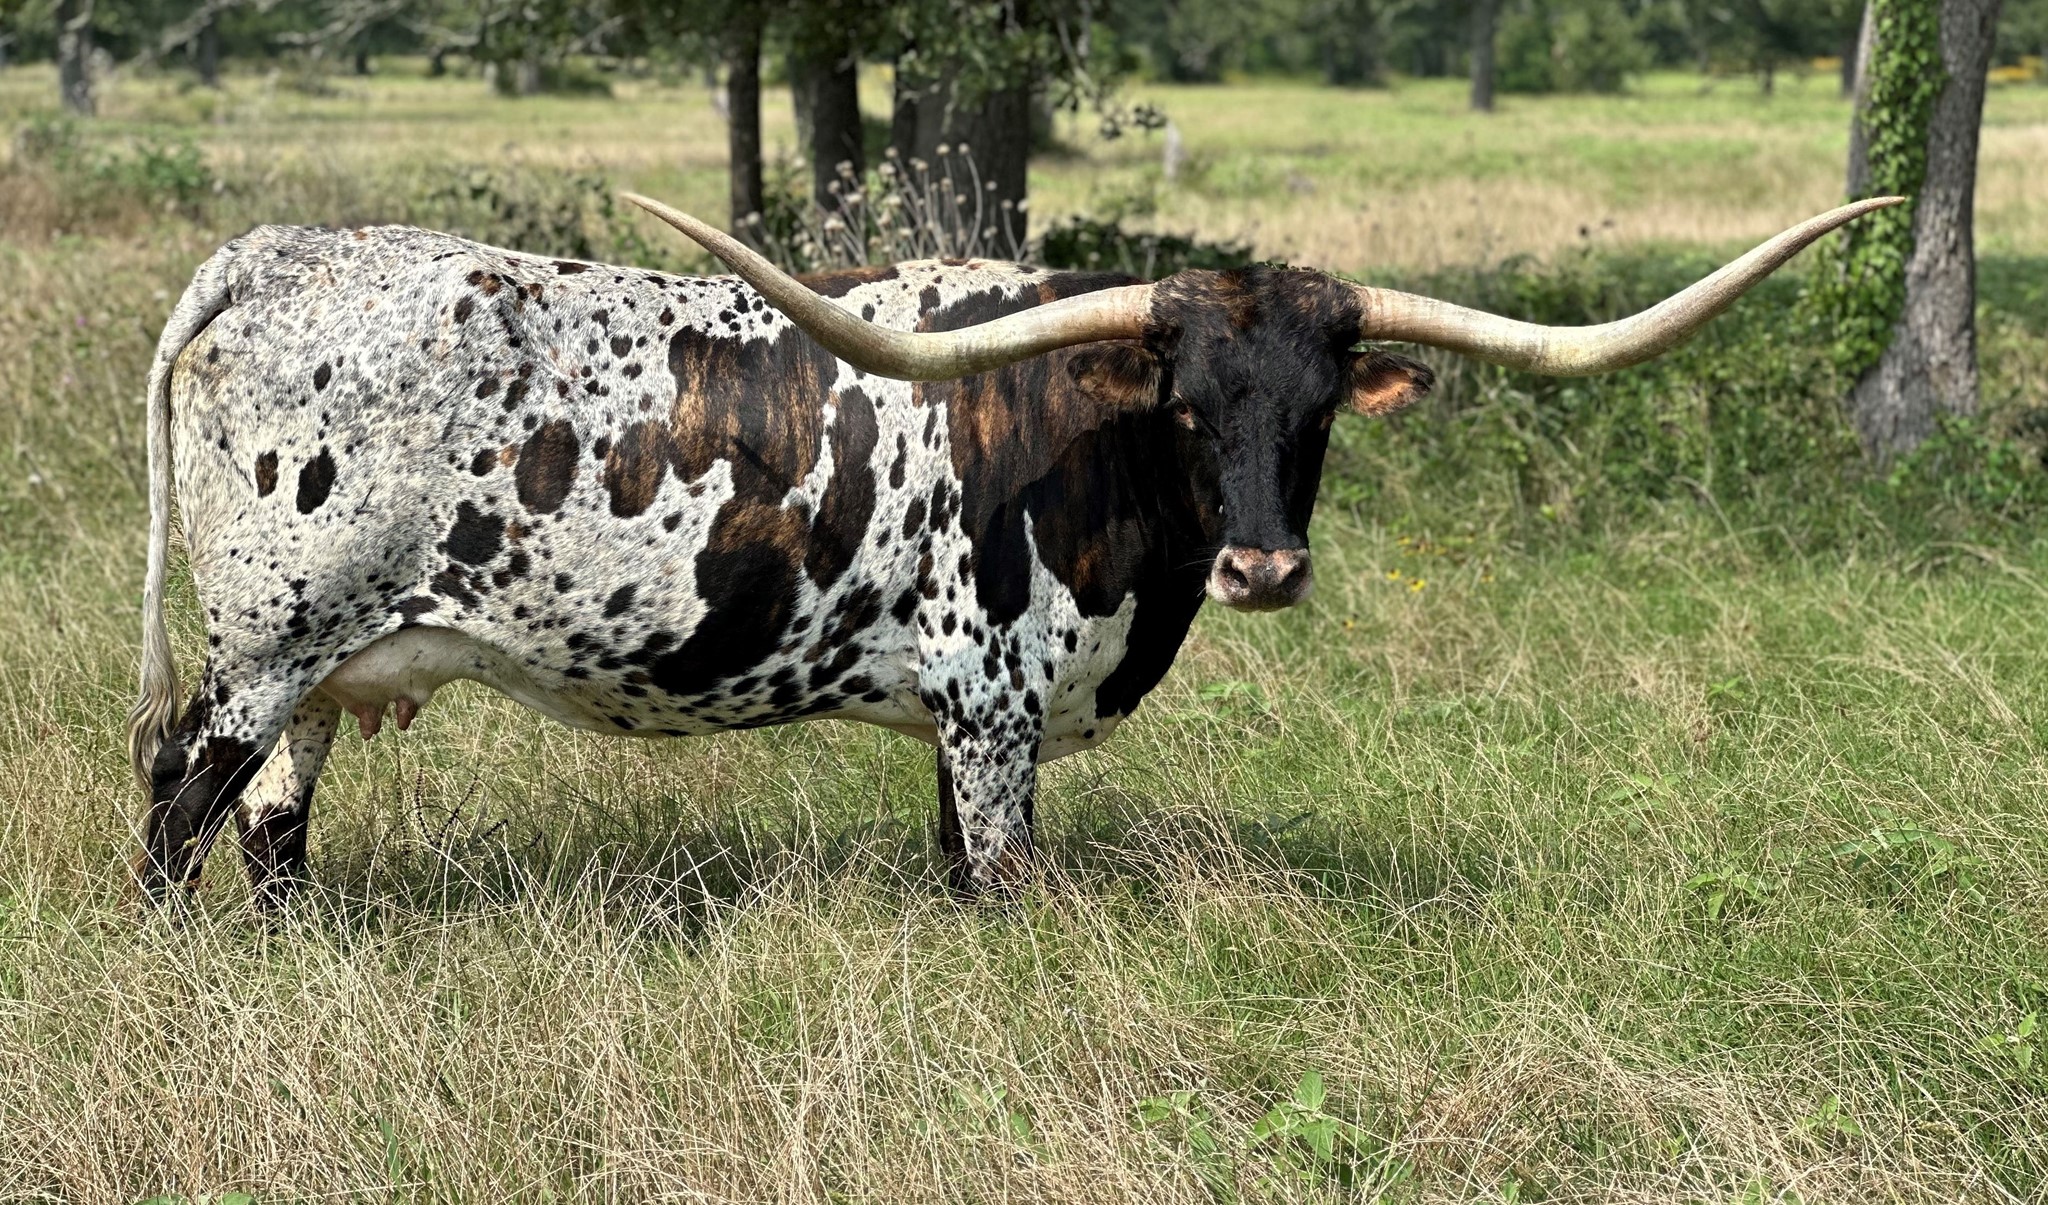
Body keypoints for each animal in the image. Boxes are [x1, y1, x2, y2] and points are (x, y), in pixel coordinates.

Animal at [126, 193, 1898, 905]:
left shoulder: (966, 721)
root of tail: (275, 251)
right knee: (169, 817)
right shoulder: (992, 712)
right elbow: (1000, 885)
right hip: (258, 653)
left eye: (1321, 404)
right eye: (1187, 400)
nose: (1267, 570)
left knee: (275, 830)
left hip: (327, 664)